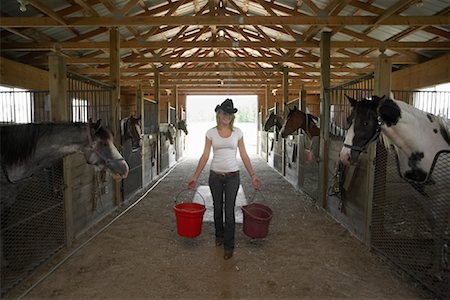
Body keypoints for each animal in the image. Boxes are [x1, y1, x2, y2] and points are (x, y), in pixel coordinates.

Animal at [342, 94, 450, 278]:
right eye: (349, 120)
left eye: (366, 123)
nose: (344, 156)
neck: (427, 144)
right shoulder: (422, 195)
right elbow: (435, 226)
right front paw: (439, 263)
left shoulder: (442, 196)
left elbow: (439, 229)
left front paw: (437, 269)